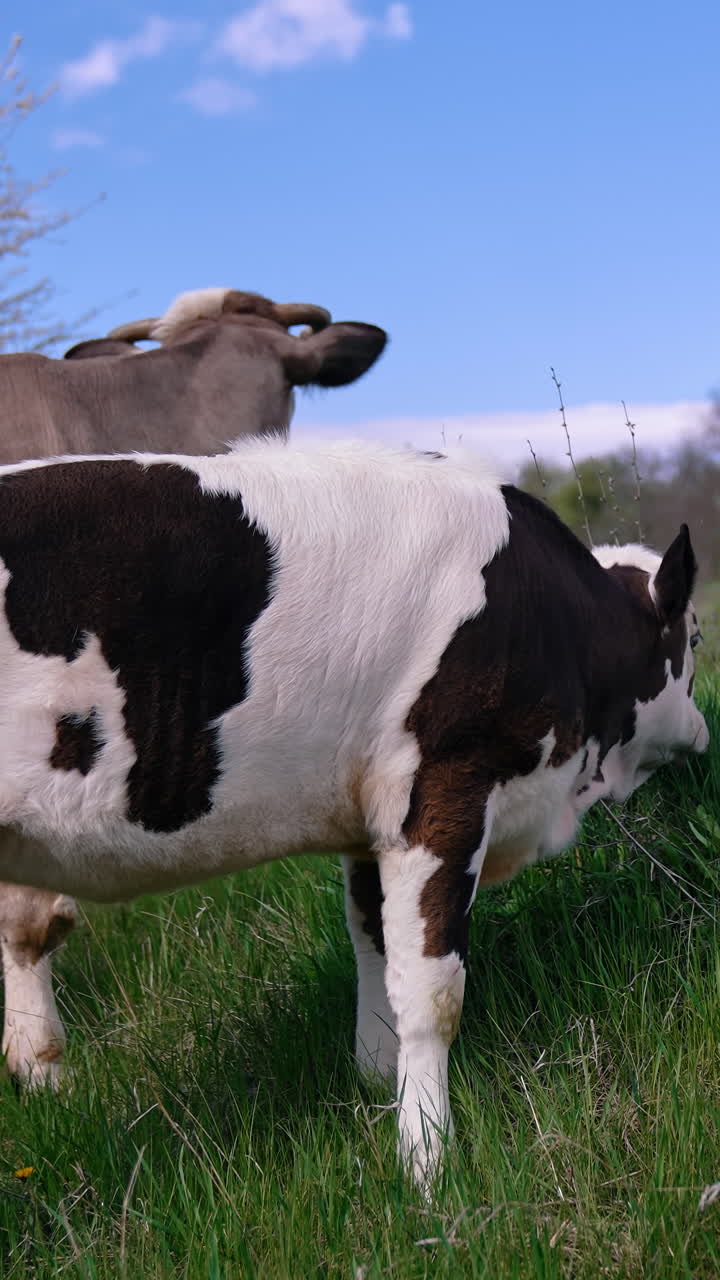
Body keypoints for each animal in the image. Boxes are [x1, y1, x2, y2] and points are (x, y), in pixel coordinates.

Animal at [0, 437, 708, 1185]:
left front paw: (375, 1080)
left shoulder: (376, 817)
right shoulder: (448, 784)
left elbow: (374, 941)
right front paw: (426, 1157)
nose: (701, 732)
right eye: (695, 640)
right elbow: (432, 990)